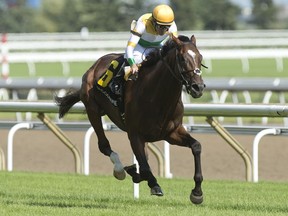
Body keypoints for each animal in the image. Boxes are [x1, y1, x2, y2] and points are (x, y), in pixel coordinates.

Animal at [54, 34, 205, 204]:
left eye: (200, 57)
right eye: (182, 58)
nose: (198, 87)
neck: (157, 96)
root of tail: (95, 64)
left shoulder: (171, 132)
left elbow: (196, 146)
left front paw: (197, 192)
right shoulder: (135, 134)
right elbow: (145, 168)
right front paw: (153, 184)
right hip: (92, 109)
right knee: (104, 145)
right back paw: (119, 169)